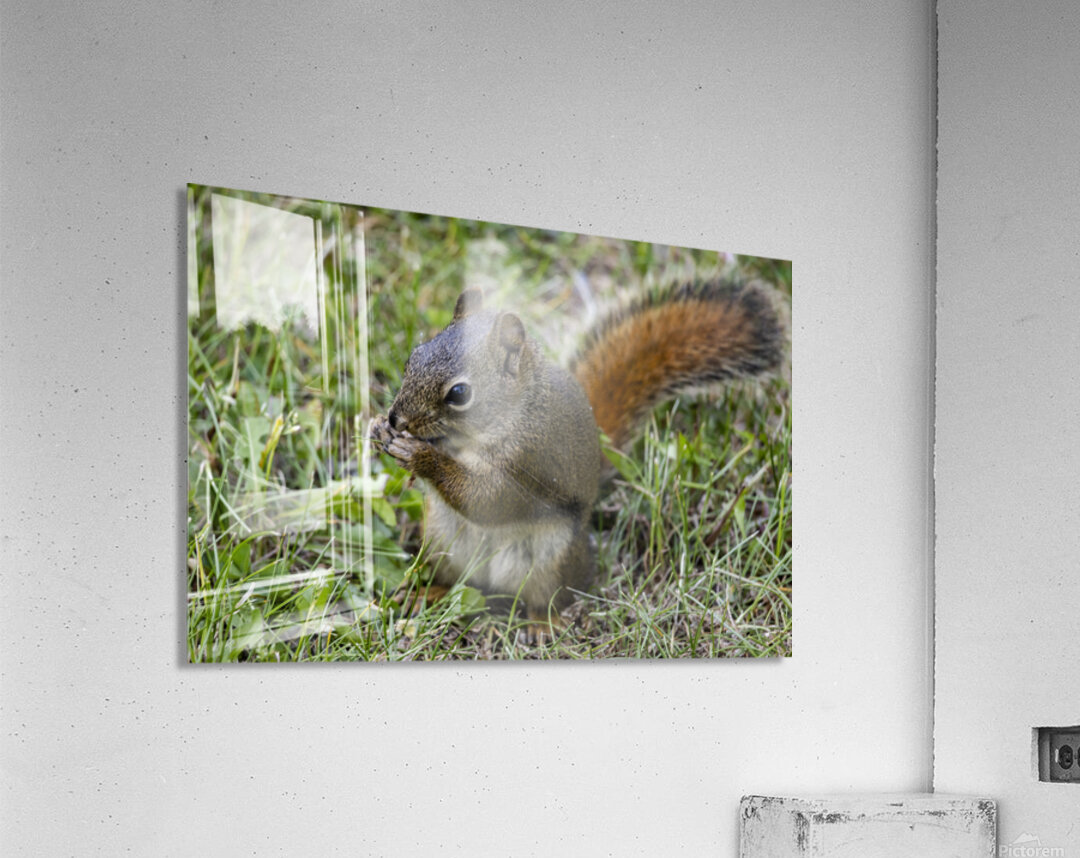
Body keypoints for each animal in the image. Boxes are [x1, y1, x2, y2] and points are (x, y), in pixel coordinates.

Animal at [369, 279, 785, 639]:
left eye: (459, 394)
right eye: (413, 358)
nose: (396, 418)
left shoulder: (530, 457)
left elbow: (487, 497)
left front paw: (421, 456)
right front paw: (379, 430)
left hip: (550, 561)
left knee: (549, 597)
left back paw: (542, 624)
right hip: (442, 541)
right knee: (458, 582)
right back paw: (428, 595)